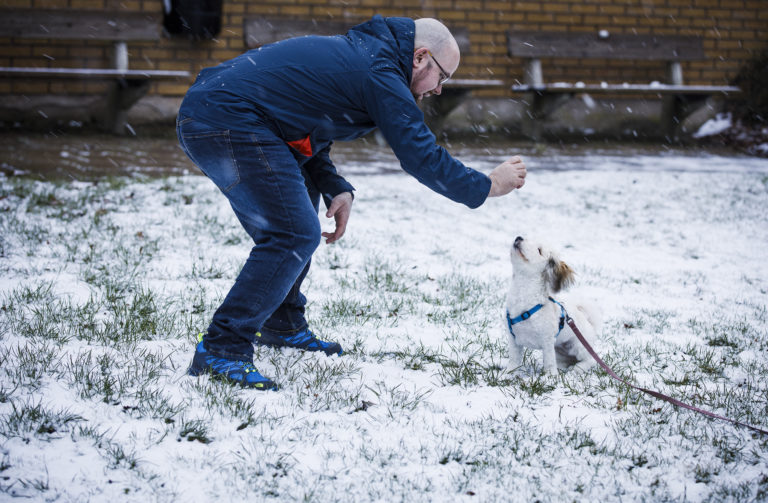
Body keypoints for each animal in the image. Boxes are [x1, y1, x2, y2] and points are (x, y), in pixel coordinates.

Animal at [508, 236, 604, 374]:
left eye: (539, 250)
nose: (519, 237)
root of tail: (588, 321)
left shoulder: (547, 340)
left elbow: (549, 362)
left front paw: (550, 376)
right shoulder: (513, 339)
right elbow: (514, 360)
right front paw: (508, 372)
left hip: (578, 347)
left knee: (591, 360)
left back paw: (578, 368)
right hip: (560, 350)